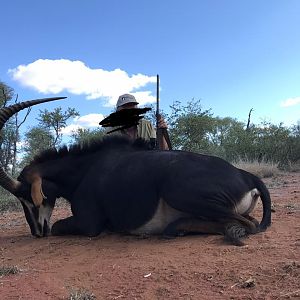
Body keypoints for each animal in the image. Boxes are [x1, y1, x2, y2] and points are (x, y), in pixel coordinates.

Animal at [0, 97, 272, 245]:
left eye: (27, 195)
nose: (37, 232)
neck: (85, 169)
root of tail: (246, 175)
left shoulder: (89, 224)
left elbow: (58, 226)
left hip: (179, 191)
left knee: (247, 223)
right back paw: (176, 228)